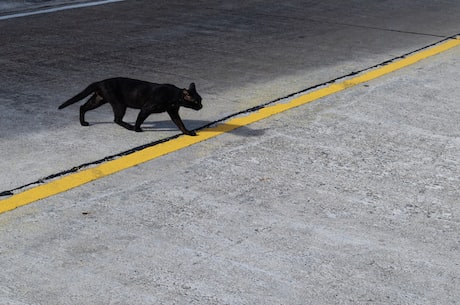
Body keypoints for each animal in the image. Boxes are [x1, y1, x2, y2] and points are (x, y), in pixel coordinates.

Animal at [58, 77, 202, 135]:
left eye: (200, 100)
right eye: (196, 101)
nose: (201, 106)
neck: (174, 96)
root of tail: (100, 82)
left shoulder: (173, 112)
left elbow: (180, 124)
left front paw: (188, 133)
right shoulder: (146, 108)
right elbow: (140, 119)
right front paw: (137, 129)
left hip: (99, 100)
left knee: (82, 107)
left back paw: (83, 123)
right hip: (119, 104)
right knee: (116, 119)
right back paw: (130, 127)